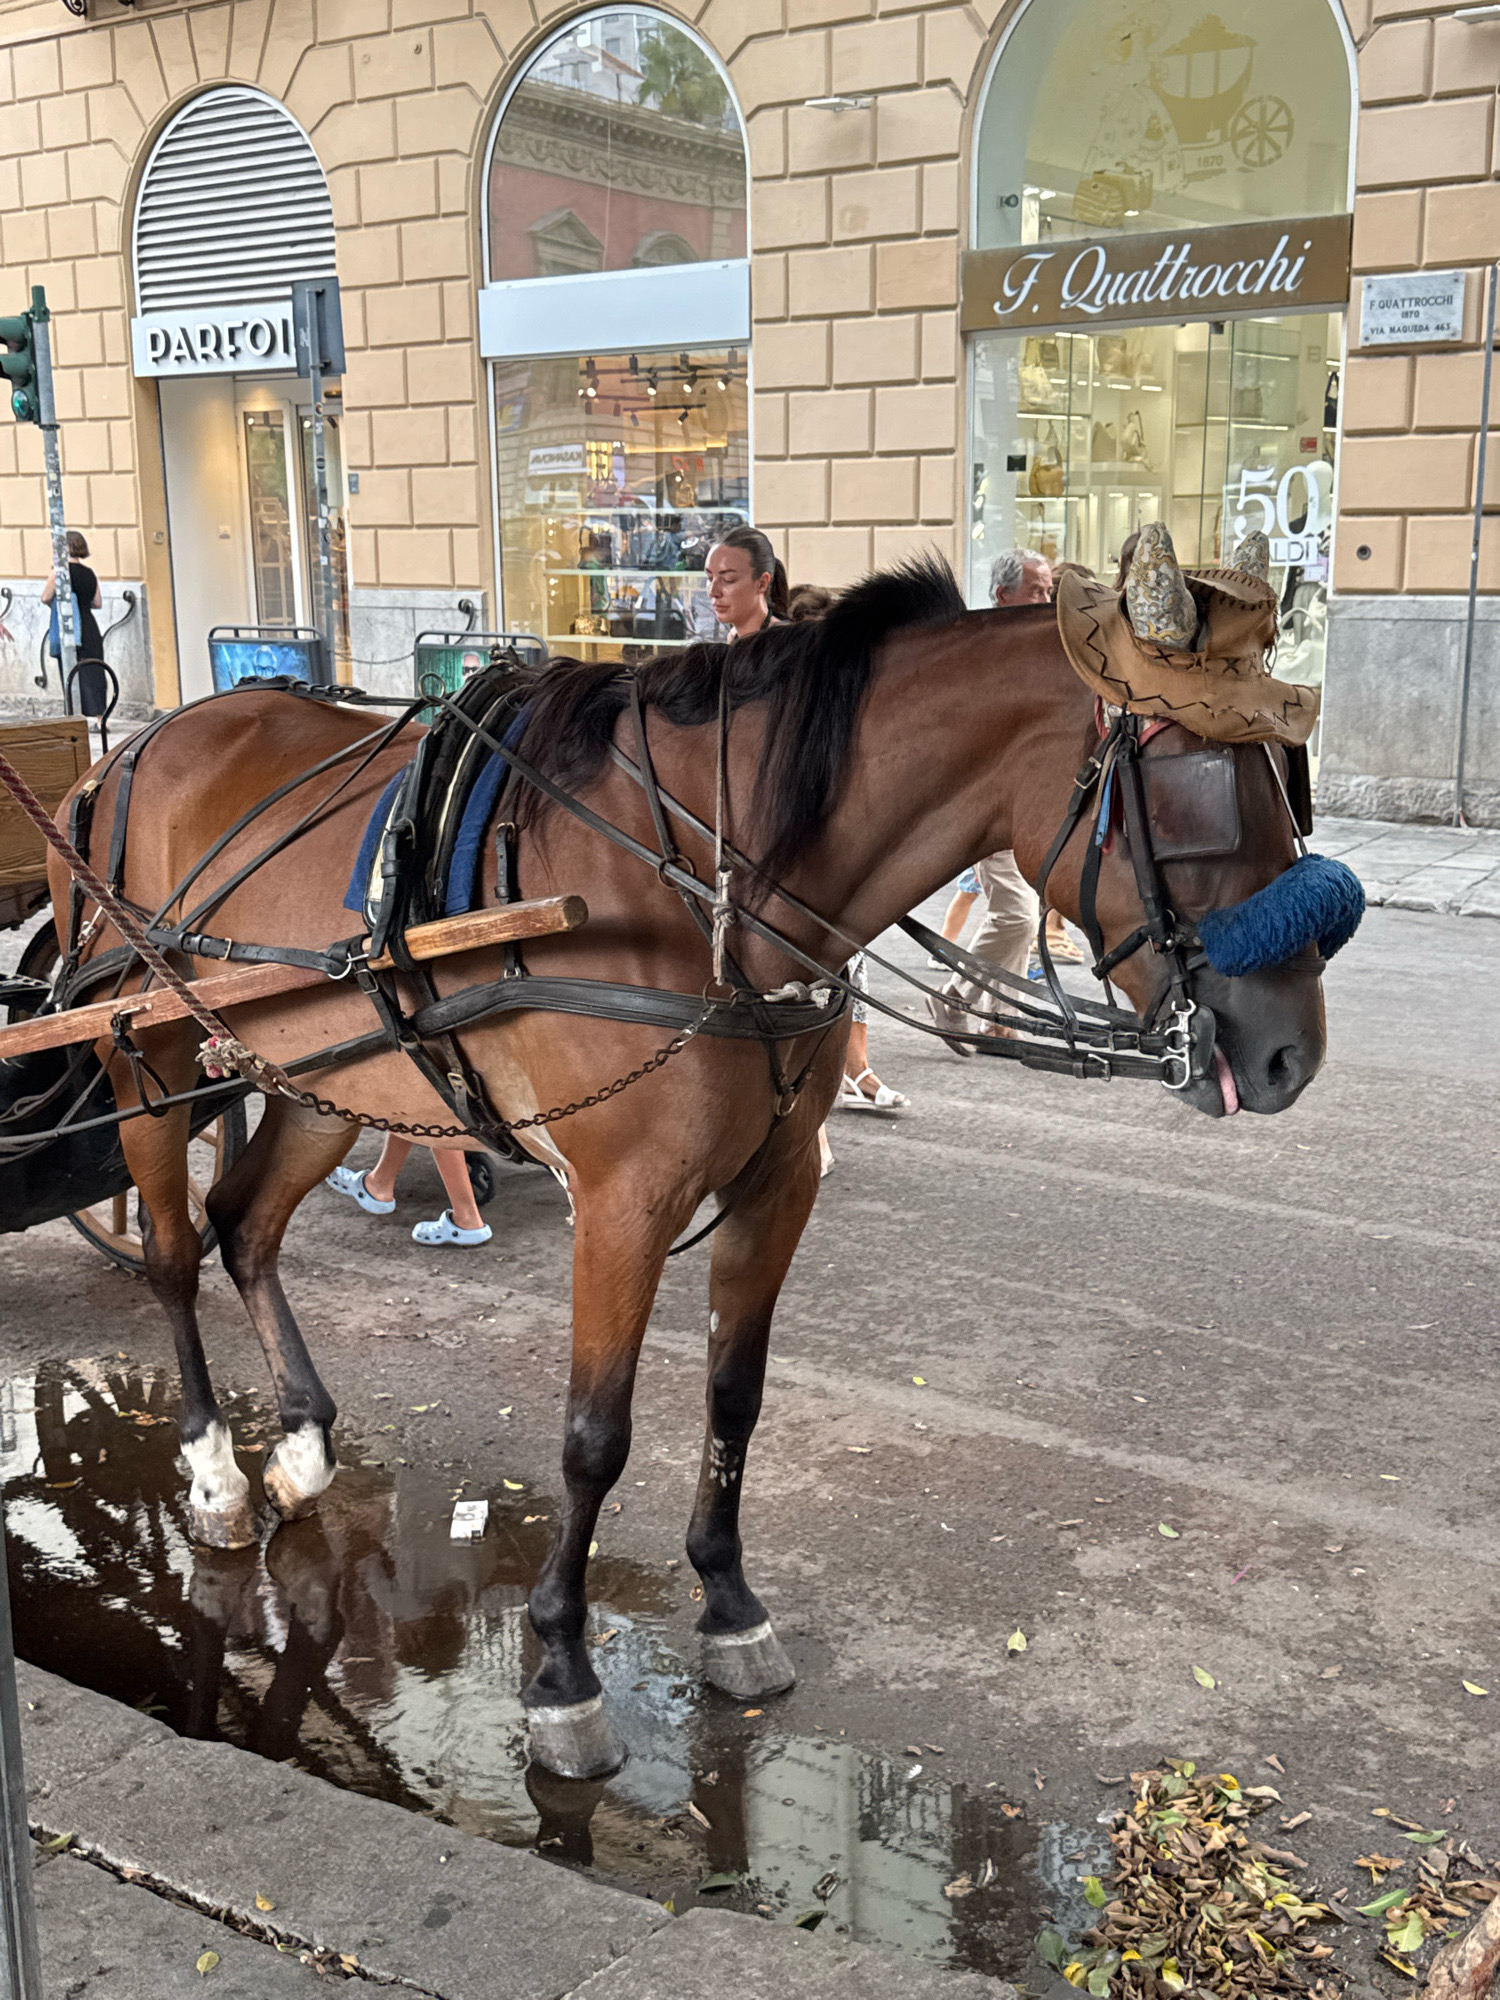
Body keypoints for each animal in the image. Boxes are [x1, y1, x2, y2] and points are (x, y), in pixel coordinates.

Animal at [43, 547, 1327, 1778]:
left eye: (1288, 775)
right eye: (1199, 783)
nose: (1291, 1052)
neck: (712, 884)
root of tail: (127, 752)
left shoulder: (776, 1184)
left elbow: (733, 1397)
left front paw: (727, 1603)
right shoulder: (624, 1202)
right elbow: (594, 1436)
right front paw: (562, 1668)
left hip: (327, 1075)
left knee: (246, 1222)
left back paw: (304, 1444)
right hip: (147, 1053)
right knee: (175, 1249)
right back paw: (214, 1470)